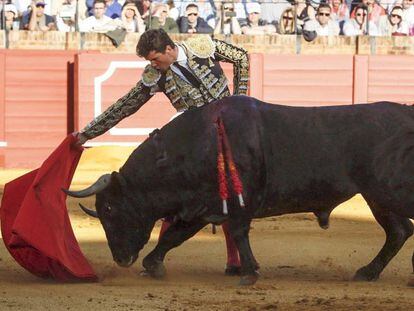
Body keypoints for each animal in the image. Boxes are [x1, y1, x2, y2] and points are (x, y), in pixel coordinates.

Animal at [65, 96, 414, 286]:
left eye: (110, 210)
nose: (121, 259)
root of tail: (407, 112)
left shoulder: (235, 204)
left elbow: (237, 232)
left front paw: (248, 273)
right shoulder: (200, 206)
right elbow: (173, 235)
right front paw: (153, 266)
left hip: (388, 192)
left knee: (401, 229)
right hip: (378, 198)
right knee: (399, 231)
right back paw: (367, 272)